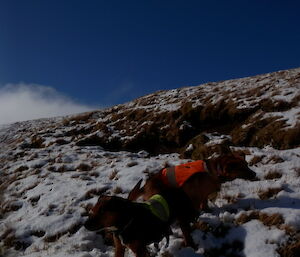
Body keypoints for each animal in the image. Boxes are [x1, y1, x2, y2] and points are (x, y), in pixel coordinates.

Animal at [127, 151, 256, 245]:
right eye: (241, 168)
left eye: (247, 165)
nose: (254, 174)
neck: (215, 171)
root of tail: (145, 186)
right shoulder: (191, 201)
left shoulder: (202, 195)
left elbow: (204, 203)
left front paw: (208, 211)